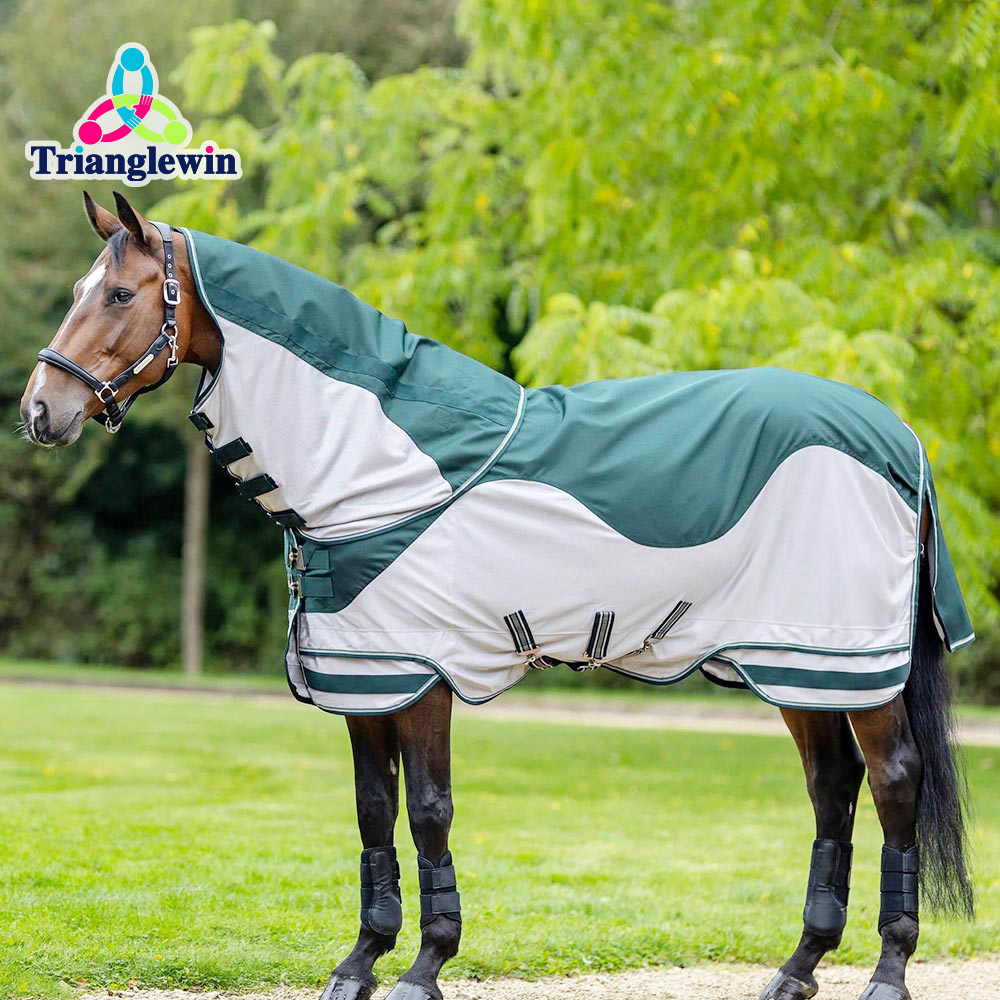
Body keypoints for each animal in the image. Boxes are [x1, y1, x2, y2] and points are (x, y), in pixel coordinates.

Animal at [20, 192, 974, 1000]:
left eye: (119, 293)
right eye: (79, 290)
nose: (40, 410)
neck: (388, 465)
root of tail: (900, 436)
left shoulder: (422, 677)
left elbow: (429, 814)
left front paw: (424, 967)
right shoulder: (367, 681)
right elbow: (374, 815)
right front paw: (359, 964)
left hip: (849, 663)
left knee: (893, 782)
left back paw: (887, 972)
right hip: (793, 664)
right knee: (832, 787)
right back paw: (798, 967)